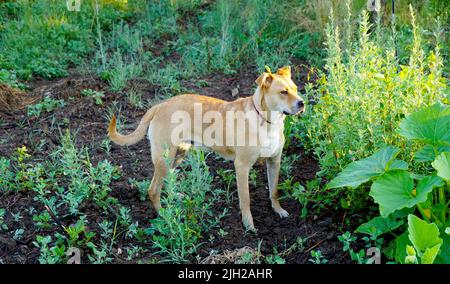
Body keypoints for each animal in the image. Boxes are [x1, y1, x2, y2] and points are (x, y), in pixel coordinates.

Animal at [108, 66, 304, 231]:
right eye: (283, 92)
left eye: (295, 89)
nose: (302, 103)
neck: (266, 121)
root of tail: (159, 105)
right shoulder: (242, 167)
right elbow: (245, 200)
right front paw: (249, 225)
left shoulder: (274, 162)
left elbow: (274, 191)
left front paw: (278, 210)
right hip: (164, 158)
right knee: (153, 190)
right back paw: (164, 215)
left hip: (178, 155)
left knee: (168, 180)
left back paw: (174, 198)